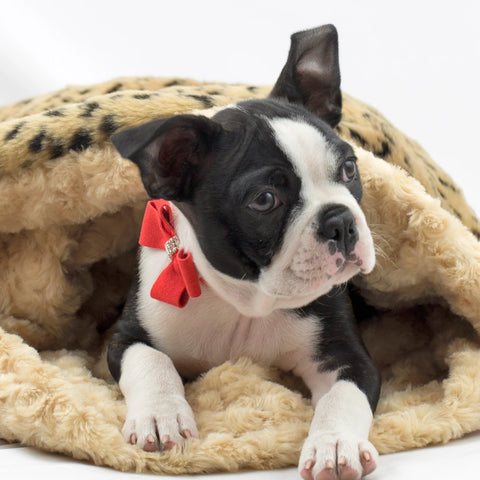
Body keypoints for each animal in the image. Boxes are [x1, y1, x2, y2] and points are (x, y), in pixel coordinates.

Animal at [109, 26, 382, 480]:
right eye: (264, 200)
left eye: (349, 169)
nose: (340, 221)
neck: (246, 304)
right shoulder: (126, 335)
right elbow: (150, 362)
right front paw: (161, 416)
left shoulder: (346, 357)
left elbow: (343, 397)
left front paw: (334, 444)